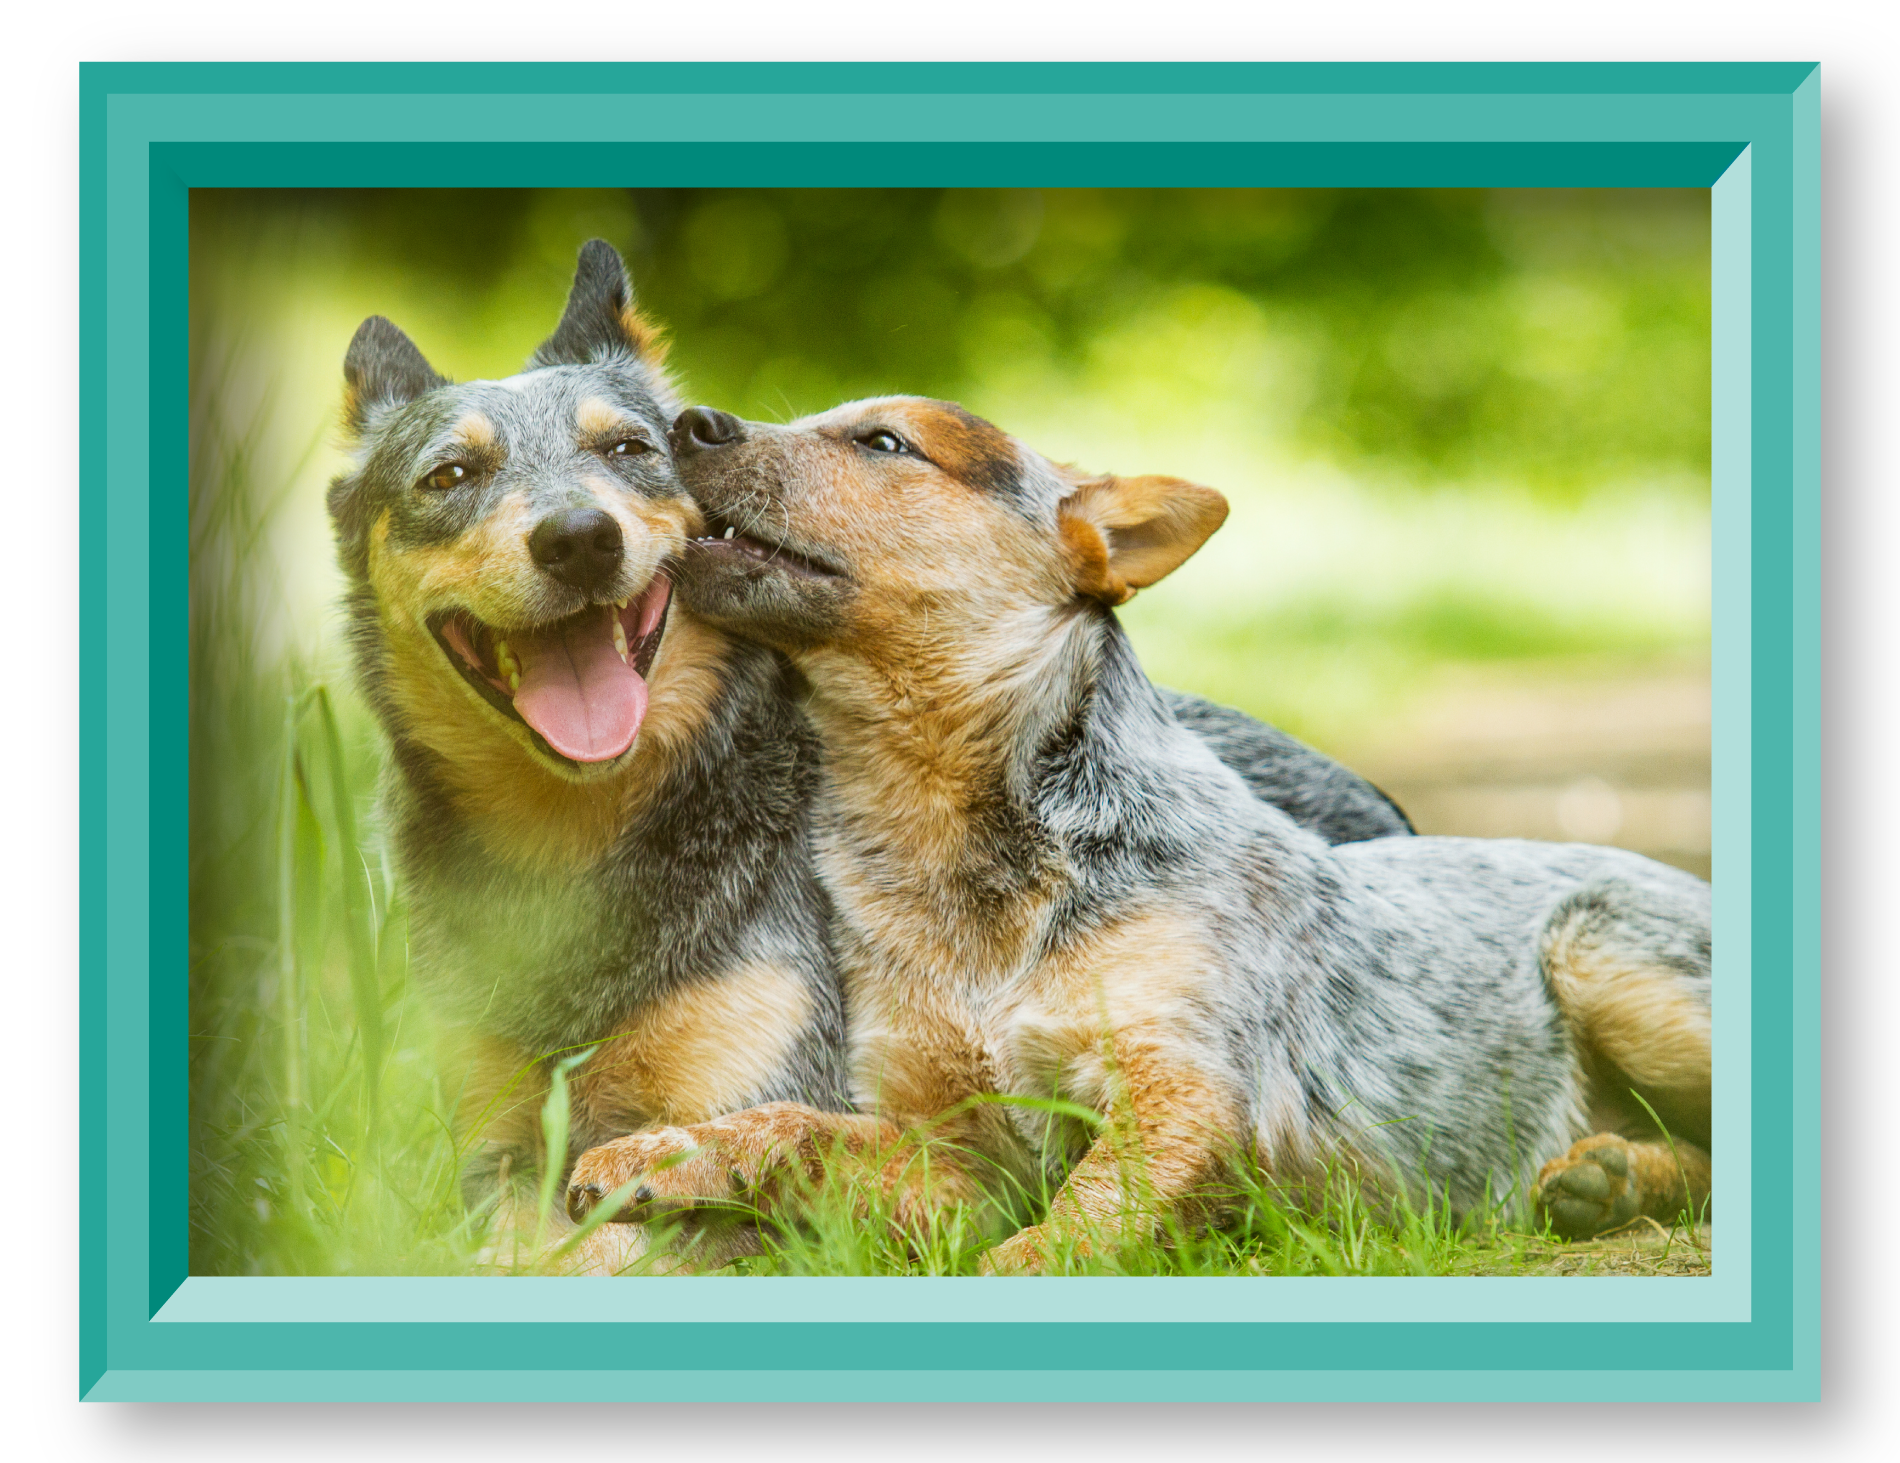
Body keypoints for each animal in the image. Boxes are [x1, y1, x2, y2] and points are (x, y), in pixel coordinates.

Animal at [326, 242, 1421, 1261]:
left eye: (629, 447)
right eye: (450, 476)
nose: (579, 536)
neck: (580, 850)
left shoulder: (767, 1100)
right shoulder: (498, 1155)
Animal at [566, 395, 1725, 1261]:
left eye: (885, 441)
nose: (681, 420)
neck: (957, 866)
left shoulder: (1184, 1093)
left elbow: (1059, 1237)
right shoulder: (958, 1156)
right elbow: (801, 1124)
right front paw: (665, 1153)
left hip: (1613, 960)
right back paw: (1610, 1177)